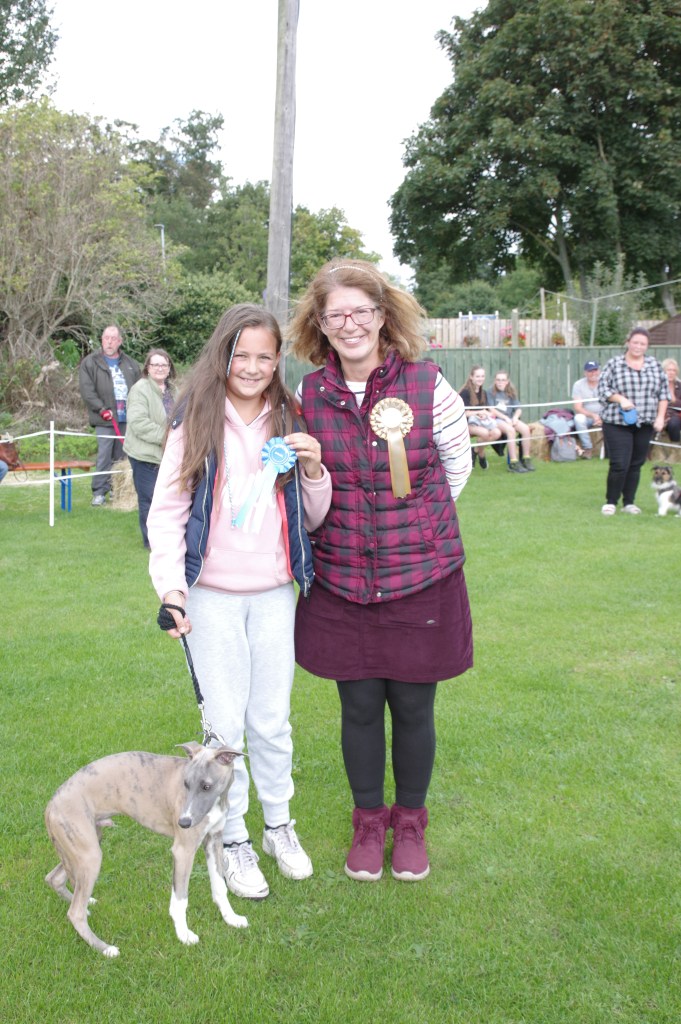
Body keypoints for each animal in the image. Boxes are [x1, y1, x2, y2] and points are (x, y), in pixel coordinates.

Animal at [45, 742, 248, 957]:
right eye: (185, 784)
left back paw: (87, 906)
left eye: (206, 786)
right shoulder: (183, 850)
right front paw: (183, 934)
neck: (216, 803)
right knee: (75, 912)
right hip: (90, 856)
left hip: (83, 847)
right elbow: (180, 899)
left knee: (55, 879)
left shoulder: (213, 840)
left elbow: (219, 887)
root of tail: (51, 804)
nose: (183, 823)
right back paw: (105, 948)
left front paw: (231, 918)